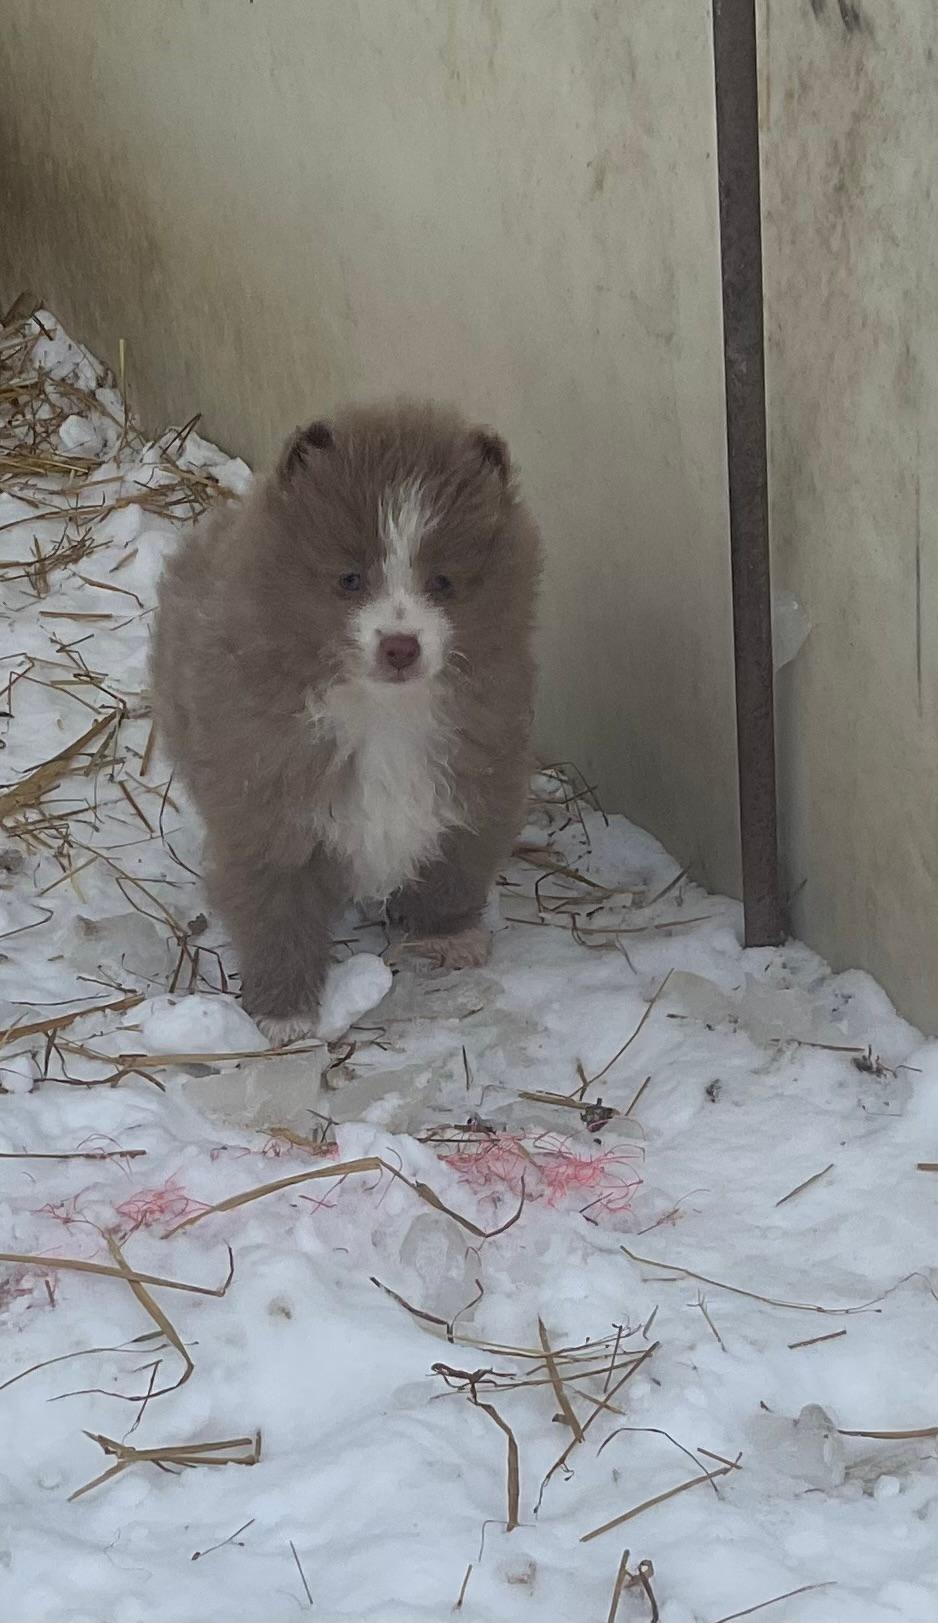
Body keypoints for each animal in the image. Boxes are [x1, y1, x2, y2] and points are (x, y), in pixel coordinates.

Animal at [152, 405, 538, 1038]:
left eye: (443, 582)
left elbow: (456, 863)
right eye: (350, 579)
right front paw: (283, 1009)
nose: (401, 646)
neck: (380, 711)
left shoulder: (479, 772)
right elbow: (275, 909)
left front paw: (448, 935)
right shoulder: (266, 803)